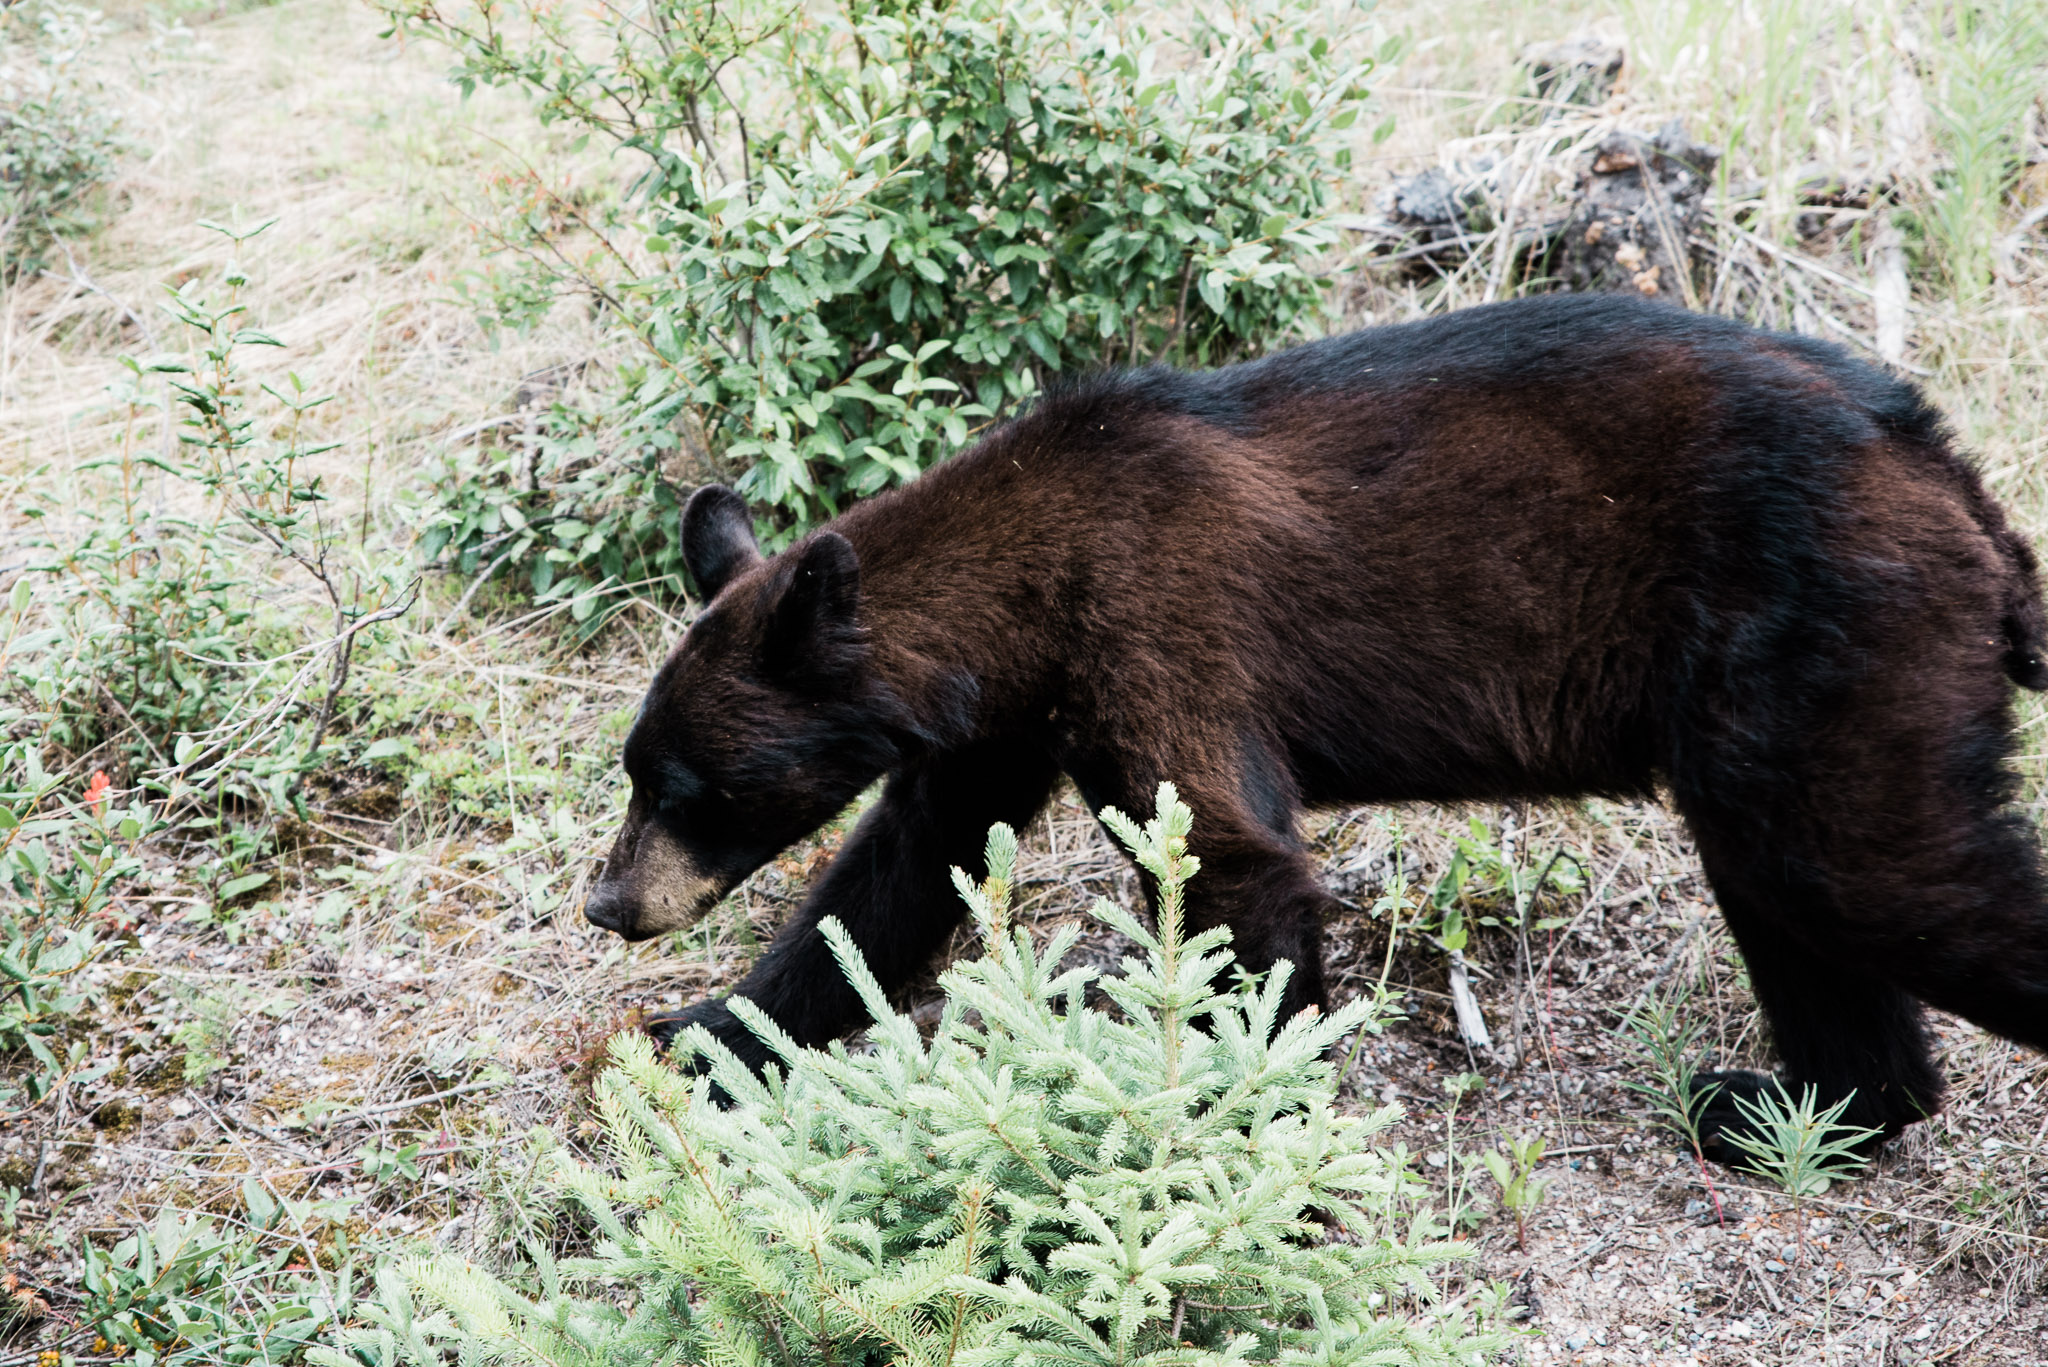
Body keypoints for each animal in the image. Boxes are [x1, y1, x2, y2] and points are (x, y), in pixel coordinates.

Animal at [577, 295, 2048, 1164]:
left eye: (685, 785)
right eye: (638, 772)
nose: (609, 901)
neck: (1029, 580)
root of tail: (1961, 486)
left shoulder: (1157, 625)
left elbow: (1236, 862)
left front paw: (1230, 1124)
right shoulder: (1000, 724)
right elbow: (888, 880)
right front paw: (691, 1033)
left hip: (1822, 634)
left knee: (1872, 870)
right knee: (1792, 891)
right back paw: (1785, 1106)